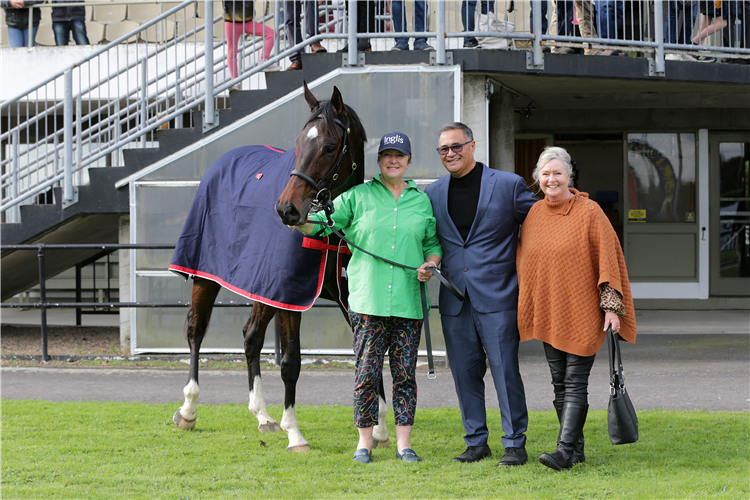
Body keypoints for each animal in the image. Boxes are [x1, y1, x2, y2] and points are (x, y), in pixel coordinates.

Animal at [170, 83, 394, 454]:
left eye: (329, 146)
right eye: (299, 143)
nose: (286, 209)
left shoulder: (349, 298)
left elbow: (369, 355)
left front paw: (378, 429)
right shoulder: (291, 297)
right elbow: (291, 362)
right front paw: (295, 433)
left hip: (264, 285)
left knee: (251, 337)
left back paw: (262, 415)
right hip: (205, 277)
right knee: (195, 331)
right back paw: (188, 409)